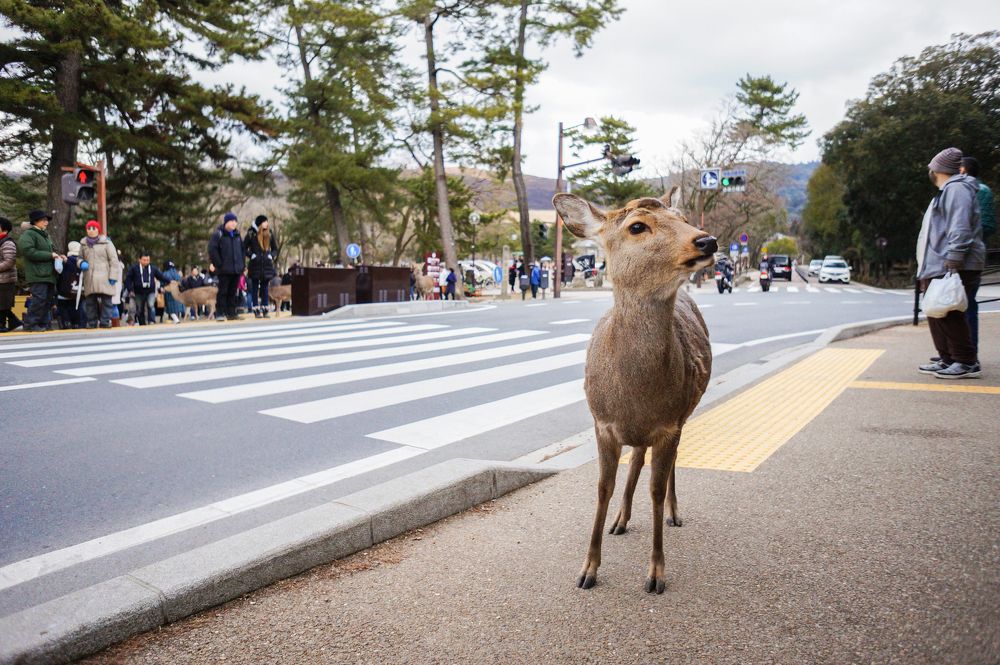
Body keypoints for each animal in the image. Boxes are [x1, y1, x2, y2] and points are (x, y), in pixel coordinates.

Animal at [552, 188, 717, 594]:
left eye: (683, 217)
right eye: (637, 226)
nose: (706, 240)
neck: (637, 395)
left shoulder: (669, 424)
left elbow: (655, 489)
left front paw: (656, 574)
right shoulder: (602, 423)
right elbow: (602, 487)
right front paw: (588, 570)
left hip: (685, 414)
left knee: (665, 464)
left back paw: (673, 513)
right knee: (637, 459)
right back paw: (620, 520)